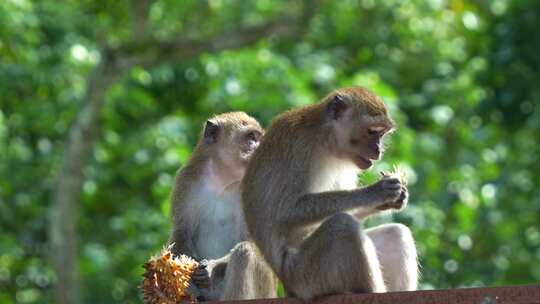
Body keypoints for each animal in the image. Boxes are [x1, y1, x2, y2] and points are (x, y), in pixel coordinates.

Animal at [169, 112, 278, 302]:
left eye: (258, 138)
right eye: (251, 137)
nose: (259, 148)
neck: (223, 180)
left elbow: (250, 240)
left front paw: (210, 266)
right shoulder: (186, 179)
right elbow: (181, 233)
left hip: (265, 290)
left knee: (244, 252)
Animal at [243, 86, 420, 300]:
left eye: (382, 134)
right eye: (372, 131)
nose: (378, 150)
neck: (325, 139)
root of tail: (287, 286)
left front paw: (395, 199)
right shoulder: (299, 147)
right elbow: (286, 212)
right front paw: (375, 192)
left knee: (396, 232)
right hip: (305, 277)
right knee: (343, 226)